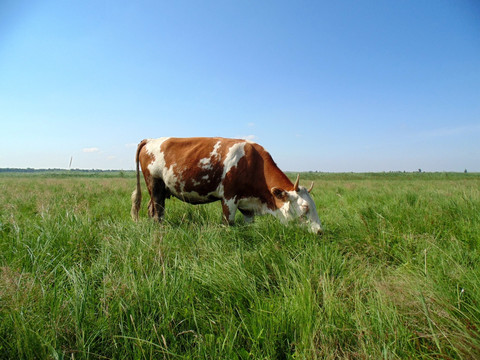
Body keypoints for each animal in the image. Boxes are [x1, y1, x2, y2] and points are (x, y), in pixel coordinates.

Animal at [130, 137, 322, 233]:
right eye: (305, 208)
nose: (320, 231)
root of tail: (151, 139)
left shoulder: (248, 205)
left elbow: (248, 225)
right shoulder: (229, 198)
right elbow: (227, 223)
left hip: (161, 189)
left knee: (151, 209)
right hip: (155, 184)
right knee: (158, 211)